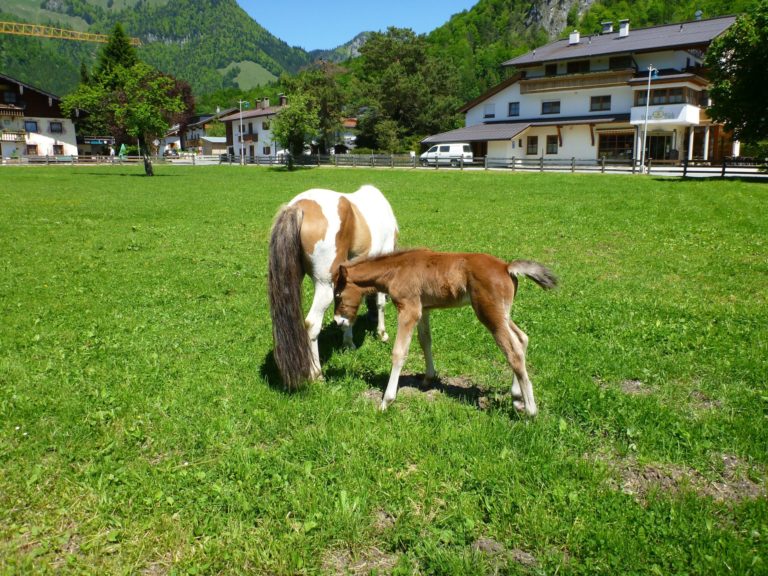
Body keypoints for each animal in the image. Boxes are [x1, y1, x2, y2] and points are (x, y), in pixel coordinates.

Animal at [268, 187, 400, 390]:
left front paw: (348, 341)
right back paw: (316, 374)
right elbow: (380, 303)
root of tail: (298, 208)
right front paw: (382, 333)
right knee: (311, 324)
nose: (371, 318)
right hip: (324, 286)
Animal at [332, 248, 556, 414]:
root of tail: (506, 267)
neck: (396, 269)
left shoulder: (409, 310)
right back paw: (517, 398)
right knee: (522, 339)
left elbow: (399, 353)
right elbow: (425, 341)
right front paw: (428, 378)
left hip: (490, 315)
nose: (337, 321)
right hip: (502, 314)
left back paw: (530, 410)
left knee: (513, 351)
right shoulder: (423, 309)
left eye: (338, 294)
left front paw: (386, 402)